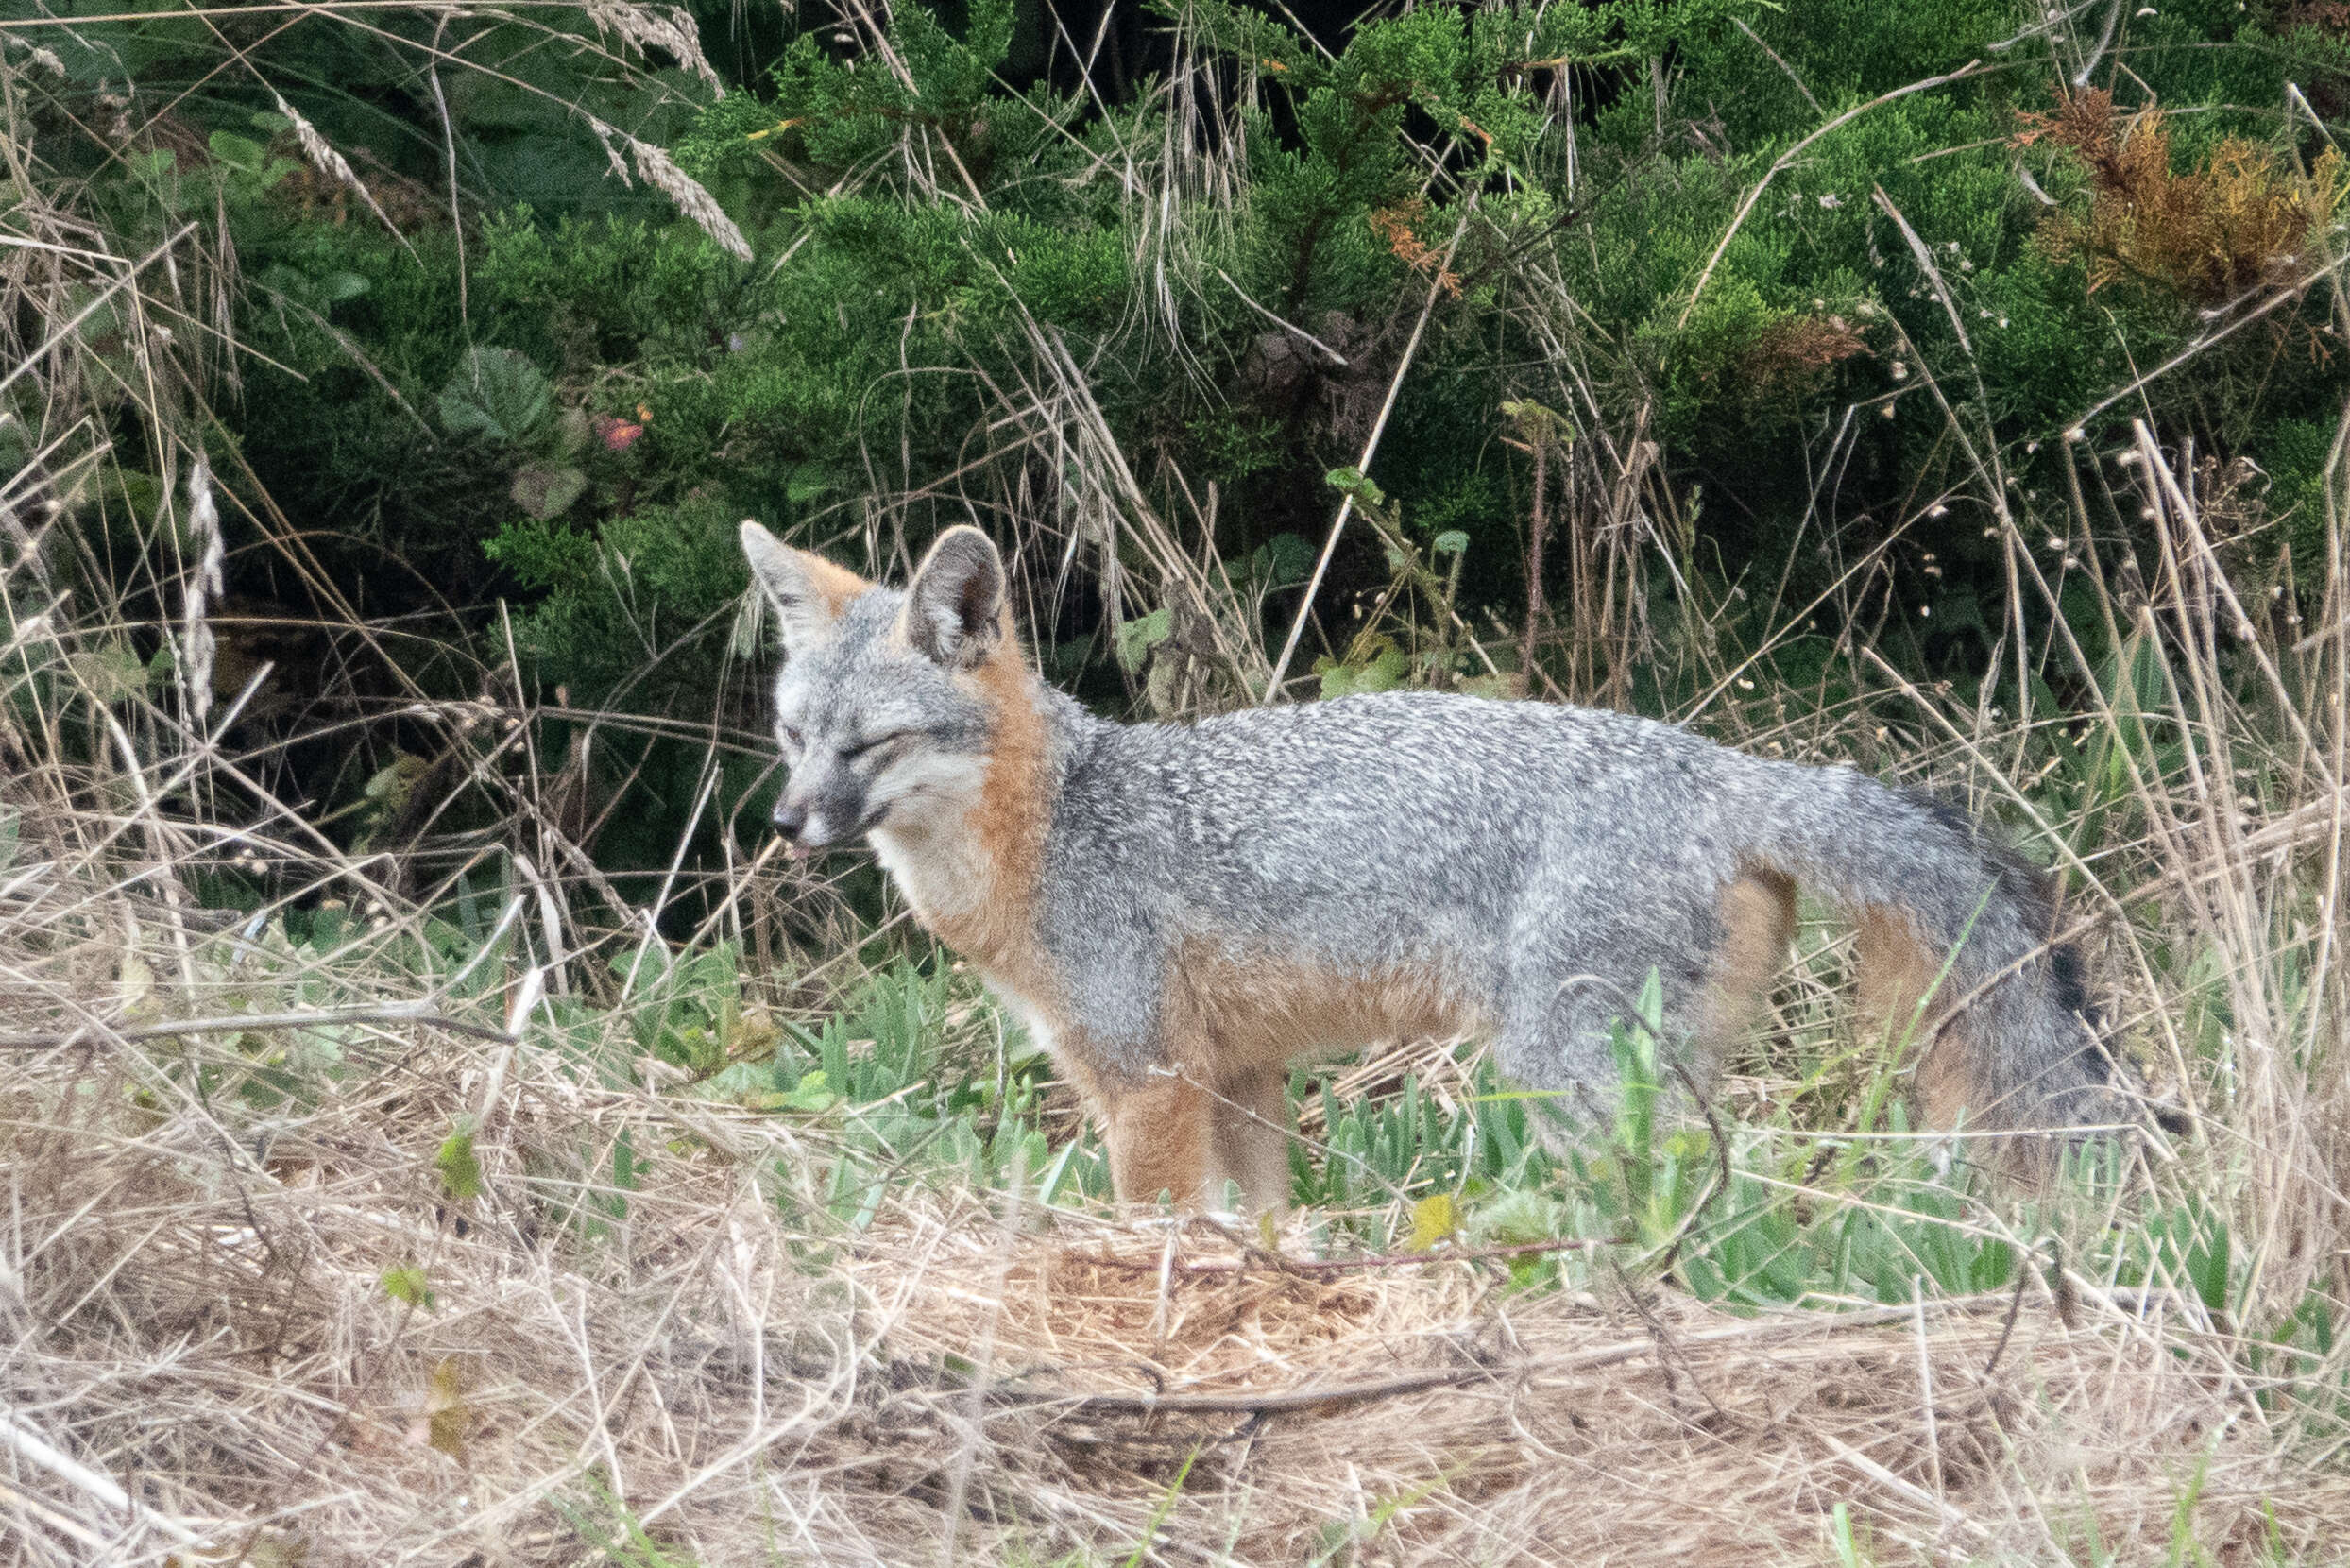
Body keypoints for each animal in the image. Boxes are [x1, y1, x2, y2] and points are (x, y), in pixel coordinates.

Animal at [742, 521, 2124, 1213]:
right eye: (793, 733)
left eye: (868, 745)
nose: (784, 824)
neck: (1052, 827)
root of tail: (1721, 766)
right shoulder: (1236, 1077)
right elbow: (1260, 1228)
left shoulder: (1146, 1084)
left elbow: (1159, 1231)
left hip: (1568, 1075)